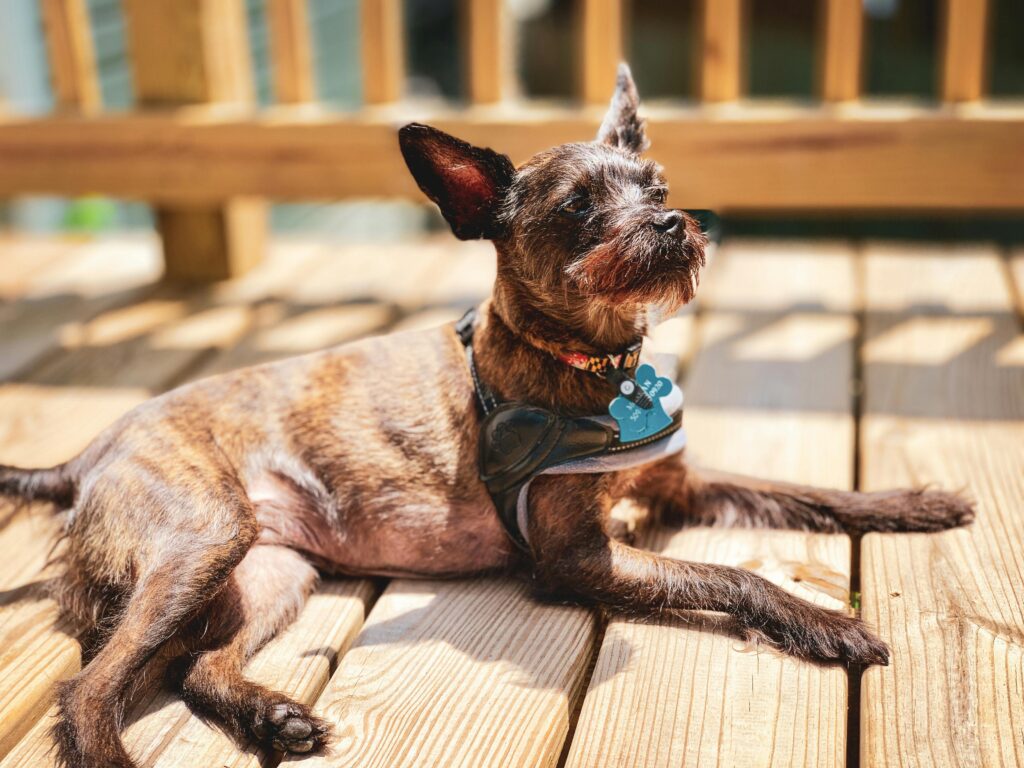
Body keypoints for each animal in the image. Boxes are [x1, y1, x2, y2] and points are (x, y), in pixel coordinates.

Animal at [2, 67, 974, 768]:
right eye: (580, 207)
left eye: (658, 186)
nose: (670, 226)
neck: (594, 365)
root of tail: (88, 452)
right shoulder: (576, 560)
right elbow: (734, 578)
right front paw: (830, 623)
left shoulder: (681, 482)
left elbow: (809, 491)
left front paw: (913, 503)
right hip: (202, 539)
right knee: (90, 689)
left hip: (272, 571)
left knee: (201, 670)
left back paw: (275, 718)